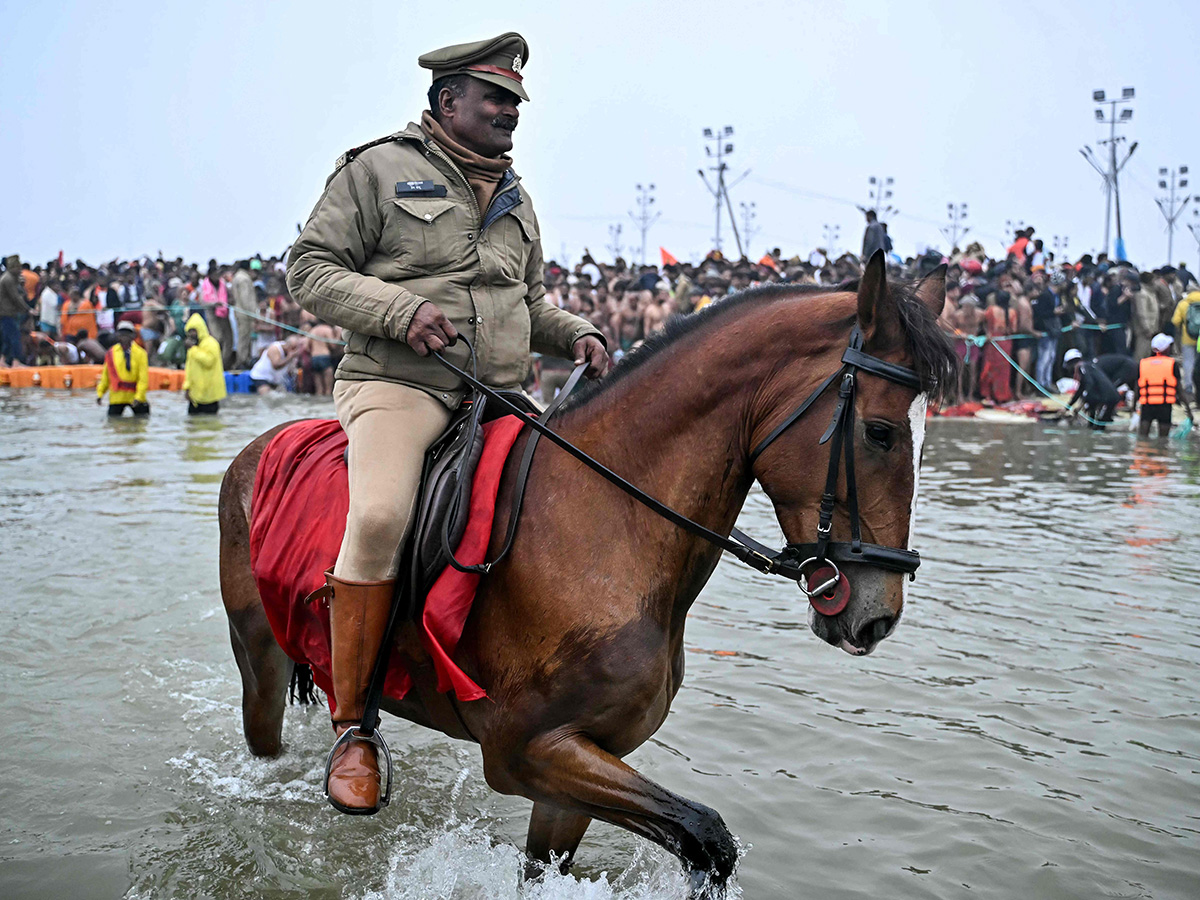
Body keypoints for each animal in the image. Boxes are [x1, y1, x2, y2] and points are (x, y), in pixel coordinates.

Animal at [220, 256, 955, 897]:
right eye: (881, 432)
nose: (877, 615)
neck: (605, 526)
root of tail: (260, 447)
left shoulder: (578, 759)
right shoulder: (524, 752)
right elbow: (706, 834)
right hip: (258, 656)